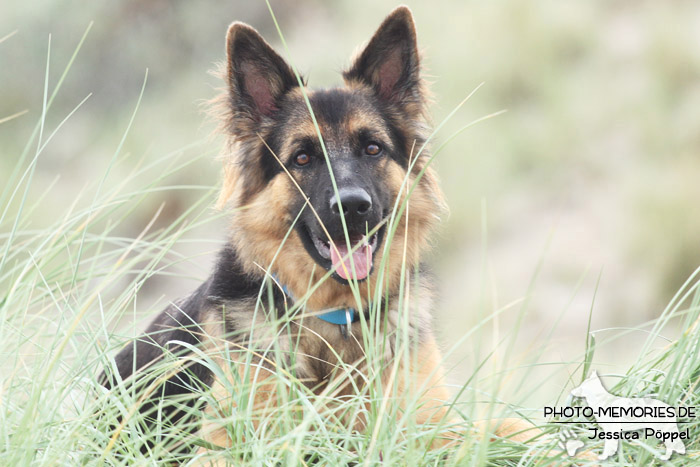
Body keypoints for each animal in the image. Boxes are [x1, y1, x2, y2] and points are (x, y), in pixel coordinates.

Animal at [100, 5, 536, 462]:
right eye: (303, 158)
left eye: (373, 148)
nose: (352, 207)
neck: (336, 317)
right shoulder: (225, 444)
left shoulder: (426, 428)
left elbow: (508, 425)